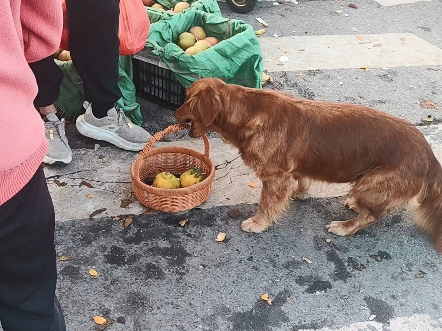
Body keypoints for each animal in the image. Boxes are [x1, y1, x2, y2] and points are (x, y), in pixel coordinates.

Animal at [174, 78, 442, 252]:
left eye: (187, 99)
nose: (174, 115)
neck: (248, 113)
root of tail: (431, 158)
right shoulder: (294, 168)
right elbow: (301, 178)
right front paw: (300, 192)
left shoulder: (274, 177)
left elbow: (266, 204)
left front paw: (258, 223)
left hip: (371, 182)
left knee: (372, 216)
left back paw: (345, 226)